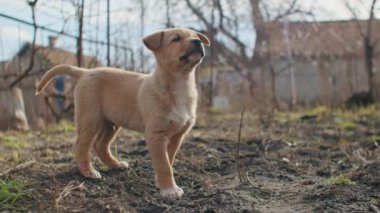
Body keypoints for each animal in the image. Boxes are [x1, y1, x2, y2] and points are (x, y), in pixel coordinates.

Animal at [35, 27, 209, 199]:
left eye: (195, 36)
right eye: (176, 39)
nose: (198, 41)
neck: (180, 84)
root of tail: (85, 72)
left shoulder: (176, 136)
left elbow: (168, 160)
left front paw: (162, 183)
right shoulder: (156, 134)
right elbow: (164, 164)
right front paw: (169, 190)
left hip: (110, 122)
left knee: (100, 145)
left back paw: (115, 164)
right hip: (91, 118)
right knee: (82, 146)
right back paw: (88, 172)